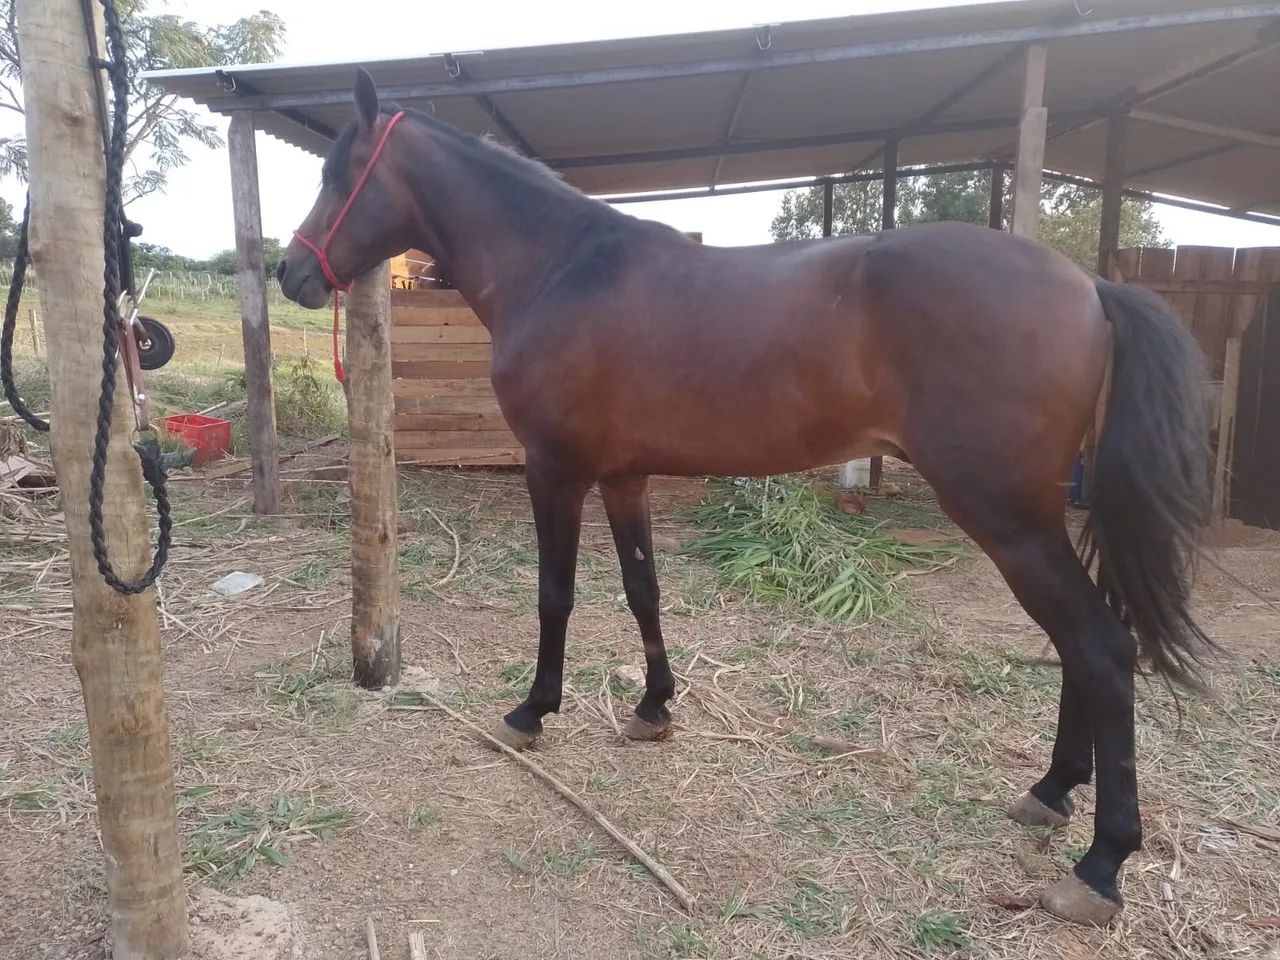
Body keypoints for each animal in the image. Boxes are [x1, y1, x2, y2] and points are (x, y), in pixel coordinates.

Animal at [278, 68, 1213, 926]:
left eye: (336, 171)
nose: (290, 272)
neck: (563, 267)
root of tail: (1090, 287)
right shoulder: (623, 476)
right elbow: (643, 590)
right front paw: (653, 707)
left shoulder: (556, 470)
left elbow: (556, 595)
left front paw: (533, 712)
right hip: (1033, 520)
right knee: (1083, 645)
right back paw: (1052, 791)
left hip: (1009, 521)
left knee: (1100, 647)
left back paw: (1100, 863)